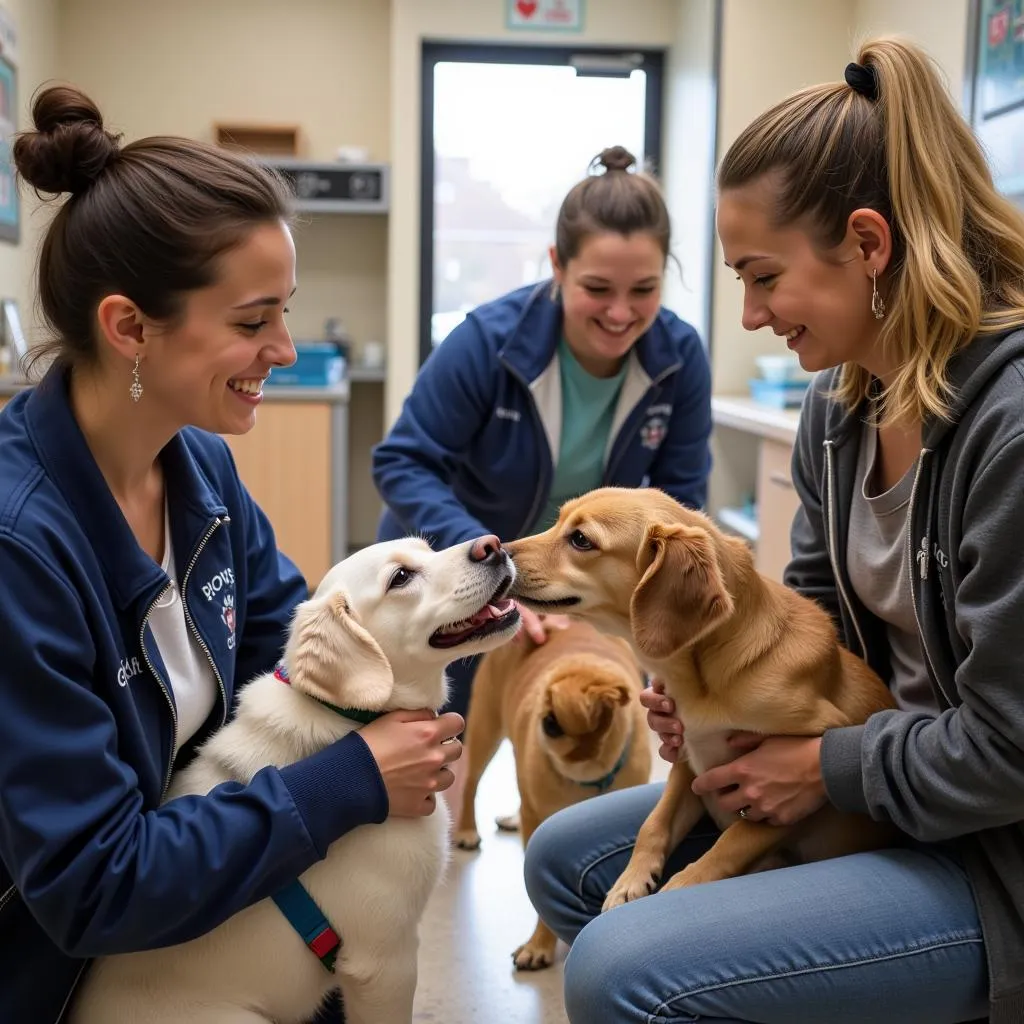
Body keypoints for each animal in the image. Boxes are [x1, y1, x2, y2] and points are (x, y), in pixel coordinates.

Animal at [454, 614, 647, 966]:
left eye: (553, 724)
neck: (589, 771)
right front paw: (540, 944)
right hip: (484, 729)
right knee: (470, 784)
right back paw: (466, 829)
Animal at [505, 487, 897, 913]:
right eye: (559, 520)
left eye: (580, 539)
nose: (497, 551)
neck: (702, 677)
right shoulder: (687, 758)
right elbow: (654, 824)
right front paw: (631, 880)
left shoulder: (794, 790)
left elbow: (731, 843)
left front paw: (680, 888)